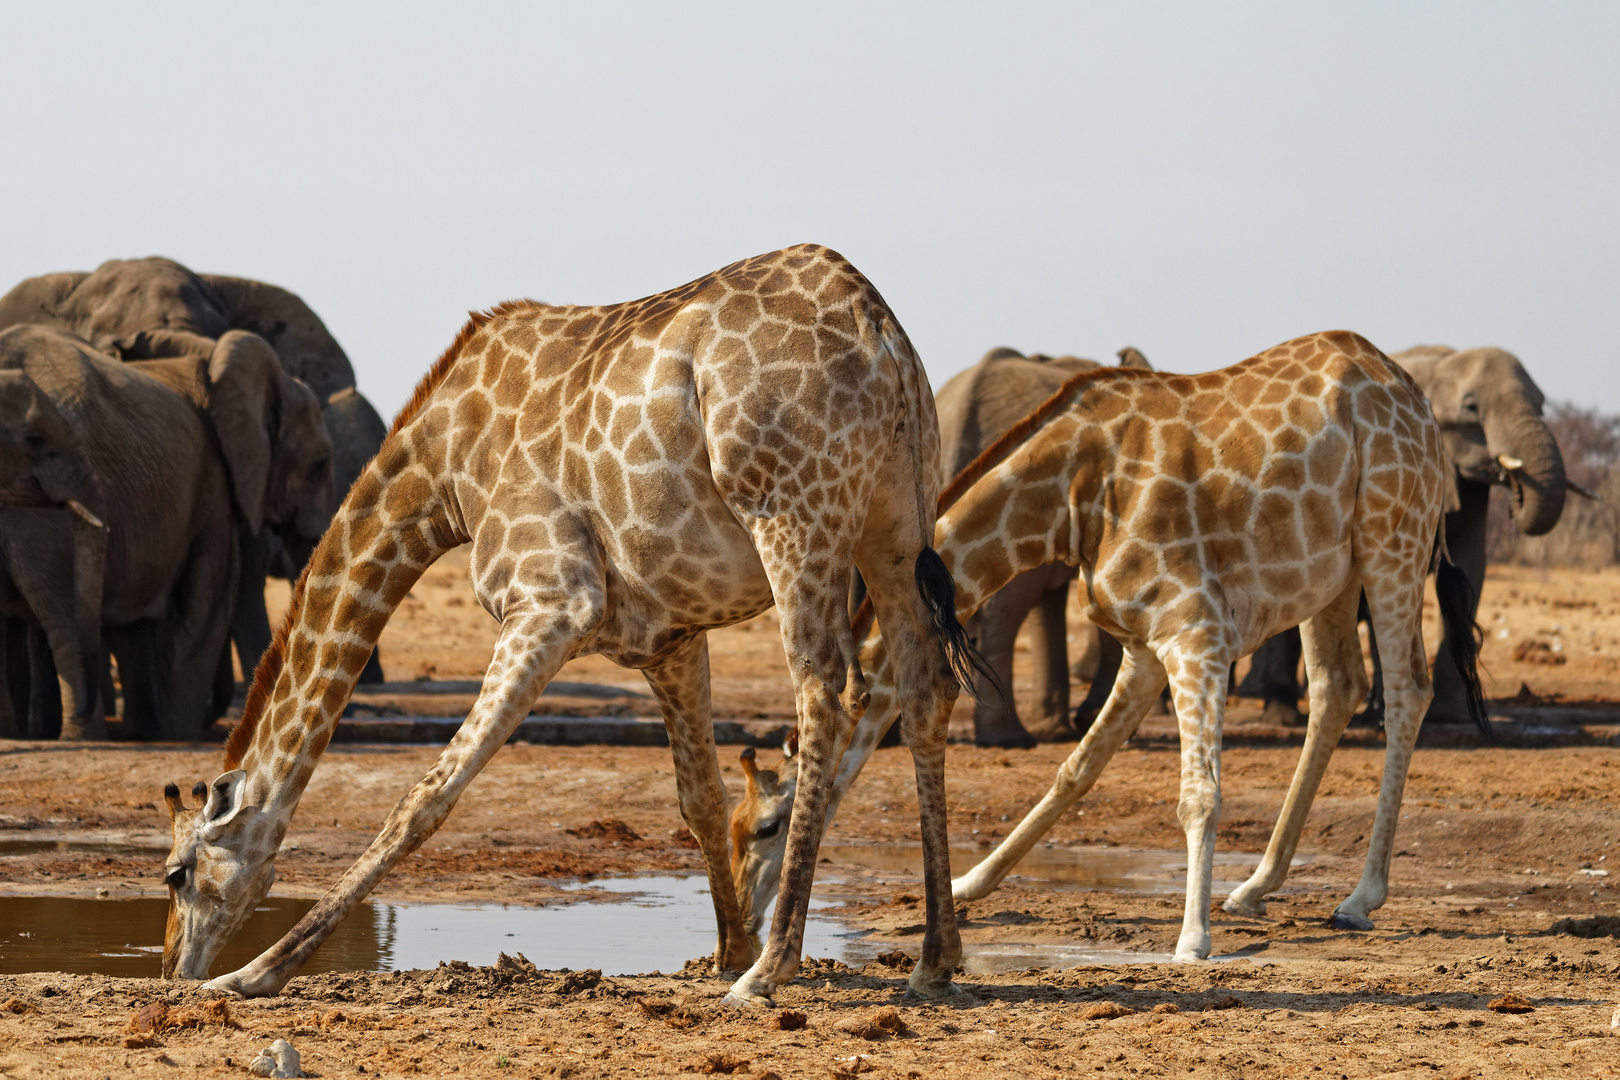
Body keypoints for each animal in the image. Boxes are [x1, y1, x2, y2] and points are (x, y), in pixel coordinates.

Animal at [0, 325, 332, 738]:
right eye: (319, 466)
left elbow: (138, 624)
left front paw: (147, 733)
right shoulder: (213, 481)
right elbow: (207, 606)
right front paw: (179, 736)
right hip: (48, 514)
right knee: (66, 618)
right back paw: (80, 734)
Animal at [161, 244, 972, 1003]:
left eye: (176, 873)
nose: (170, 968)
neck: (445, 472)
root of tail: (877, 327)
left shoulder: (550, 599)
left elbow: (425, 797)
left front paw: (255, 972)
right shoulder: (669, 636)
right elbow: (700, 800)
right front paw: (723, 952)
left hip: (794, 513)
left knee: (826, 689)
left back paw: (773, 971)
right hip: (895, 525)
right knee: (925, 690)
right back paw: (931, 961)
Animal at [1231, 341, 1561, 722]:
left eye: (1542, 405)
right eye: (1471, 408)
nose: (1514, 489)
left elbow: (1470, 565)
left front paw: (1449, 715)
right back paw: (1281, 714)